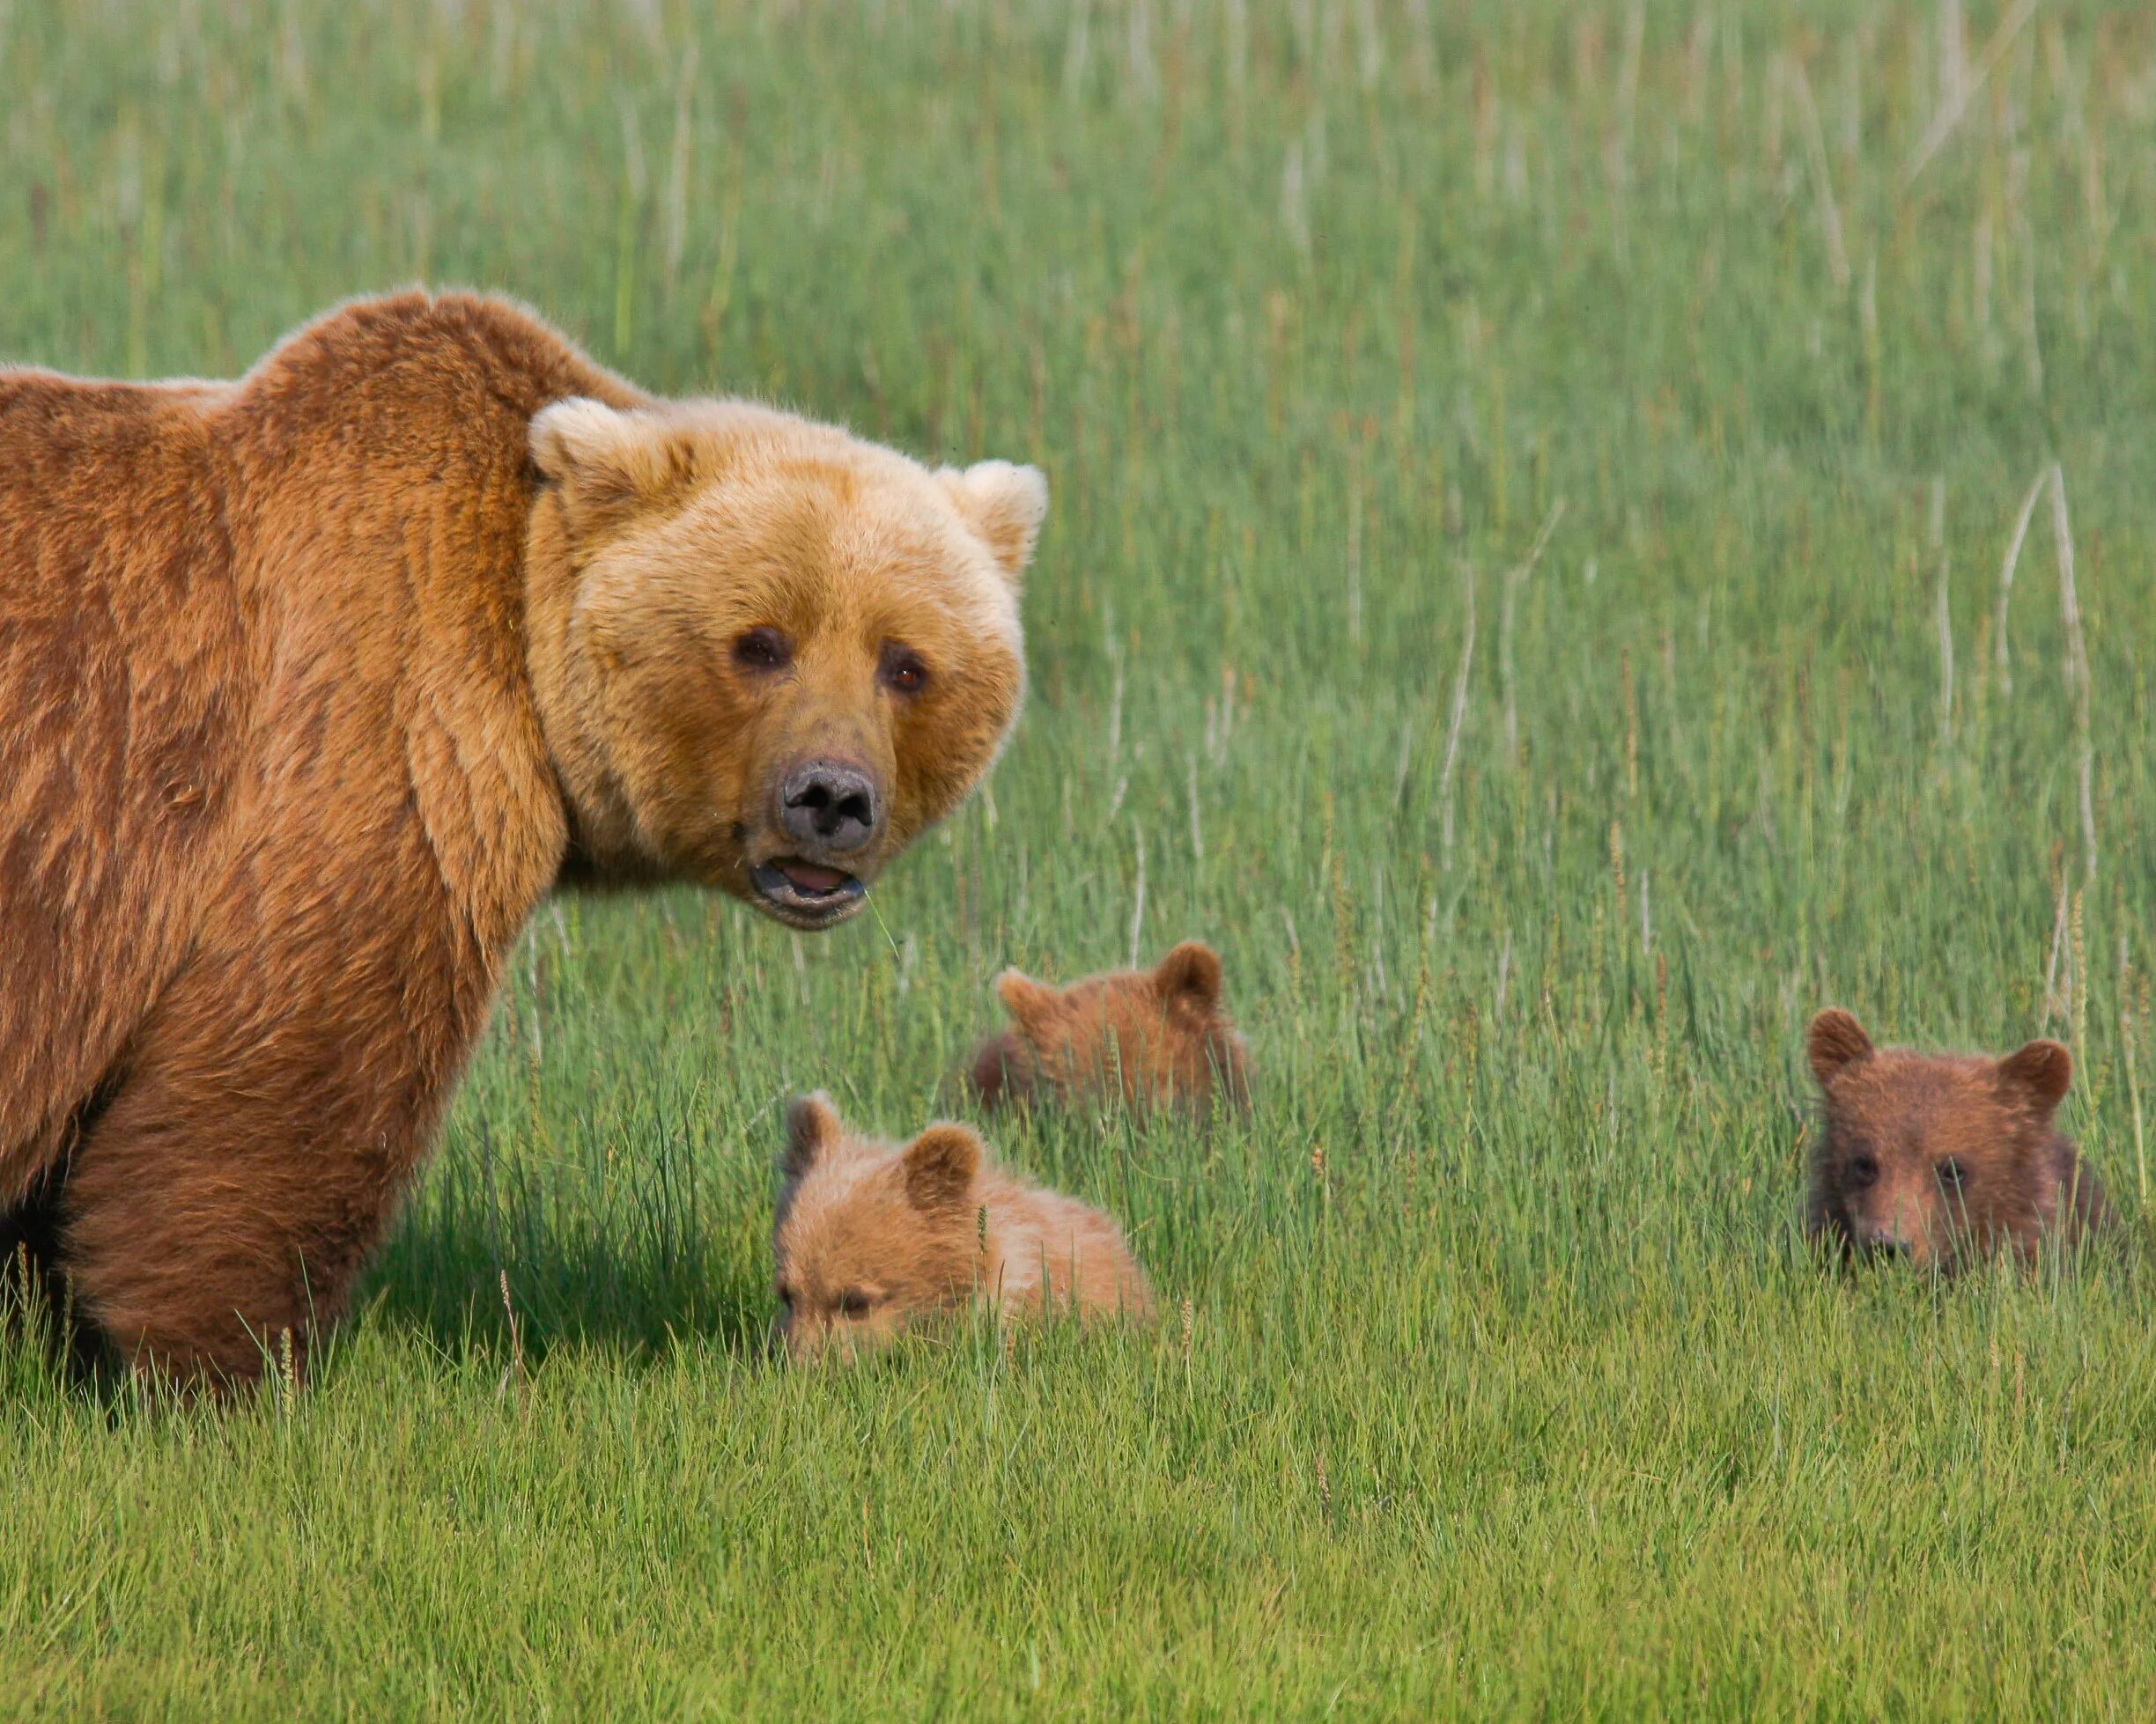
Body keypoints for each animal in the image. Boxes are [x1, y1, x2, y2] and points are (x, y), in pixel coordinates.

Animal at [0, 286, 1043, 1388]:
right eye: (760, 642)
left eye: (906, 662)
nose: (832, 797)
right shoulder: (365, 754)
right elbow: (274, 1088)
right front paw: (222, 1363)